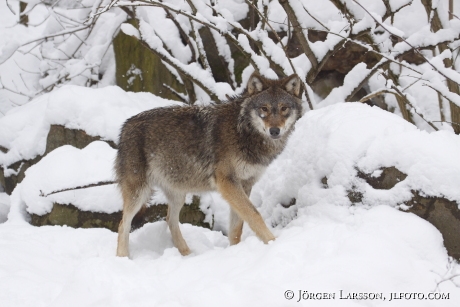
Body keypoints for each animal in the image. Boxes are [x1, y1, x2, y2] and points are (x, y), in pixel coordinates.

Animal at [115, 73, 302, 258]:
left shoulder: (245, 184)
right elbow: (254, 214)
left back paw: (187, 255)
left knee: (170, 220)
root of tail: (125, 126)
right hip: (139, 193)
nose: (274, 131)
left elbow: (237, 228)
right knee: (123, 224)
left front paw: (235, 252)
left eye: (284, 108)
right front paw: (273, 242)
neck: (243, 130)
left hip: (178, 193)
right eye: (264, 108)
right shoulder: (227, 182)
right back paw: (123, 258)